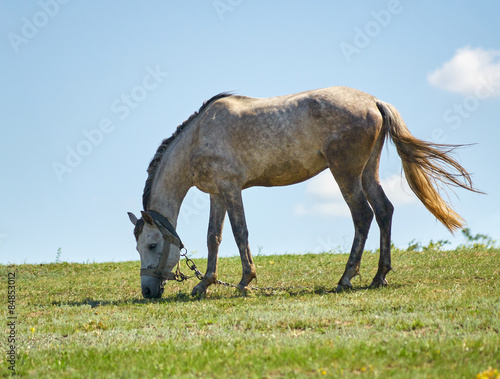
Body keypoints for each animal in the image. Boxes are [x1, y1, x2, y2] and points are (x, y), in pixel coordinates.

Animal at [127, 87, 478, 300]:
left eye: (152, 245)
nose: (148, 291)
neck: (200, 134)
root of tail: (373, 102)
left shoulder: (230, 188)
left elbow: (240, 233)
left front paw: (245, 281)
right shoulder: (217, 193)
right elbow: (214, 236)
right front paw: (205, 283)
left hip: (345, 173)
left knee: (363, 215)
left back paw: (346, 278)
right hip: (367, 172)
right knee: (384, 211)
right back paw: (379, 277)